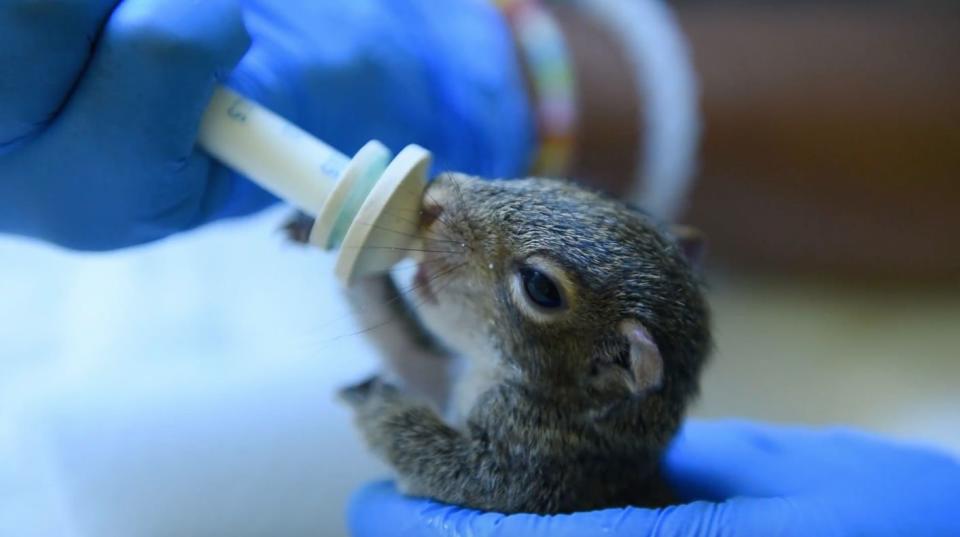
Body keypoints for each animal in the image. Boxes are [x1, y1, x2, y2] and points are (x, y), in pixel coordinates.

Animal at [288, 174, 708, 512]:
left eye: (541, 287)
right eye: (562, 184)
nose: (433, 202)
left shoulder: (535, 470)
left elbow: (463, 473)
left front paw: (384, 405)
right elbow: (407, 353)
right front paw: (323, 224)